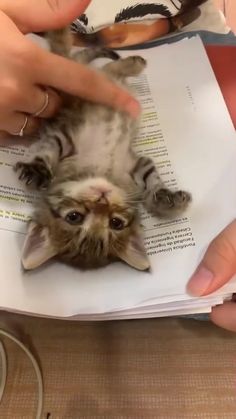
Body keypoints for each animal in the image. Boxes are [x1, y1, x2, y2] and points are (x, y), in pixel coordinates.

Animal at [15, 28, 191, 272]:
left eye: (116, 223)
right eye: (74, 217)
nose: (101, 200)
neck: (102, 170)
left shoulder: (135, 163)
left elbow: (151, 179)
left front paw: (165, 199)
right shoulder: (65, 136)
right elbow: (47, 149)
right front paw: (36, 169)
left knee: (90, 62)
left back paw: (133, 62)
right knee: (74, 58)